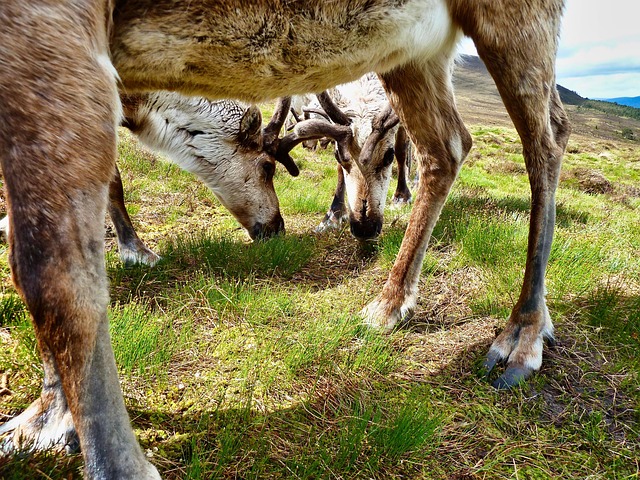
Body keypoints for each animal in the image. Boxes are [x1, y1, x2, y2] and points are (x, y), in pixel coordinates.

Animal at [0, 1, 570, 478]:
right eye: (268, 167)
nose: (274, 228)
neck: (138, 98)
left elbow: (58, 280)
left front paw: (91, 442)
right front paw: (46, 411)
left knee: (546, 136)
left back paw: (521, 331)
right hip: (413, 47)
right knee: (448, 146)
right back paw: (390, 304)